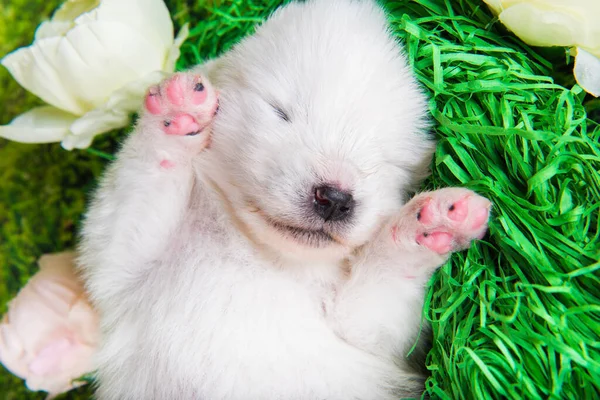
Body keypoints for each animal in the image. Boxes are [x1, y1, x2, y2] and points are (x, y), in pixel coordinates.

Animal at [78, 0, 492, 398]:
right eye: (280, 112)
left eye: (389, 159)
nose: (335, 197)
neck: (262, 252)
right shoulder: (121, 267)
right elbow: (141, 181)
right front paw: (176, 114)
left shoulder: (375, 340)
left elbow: (380, 292)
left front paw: (431, 223)